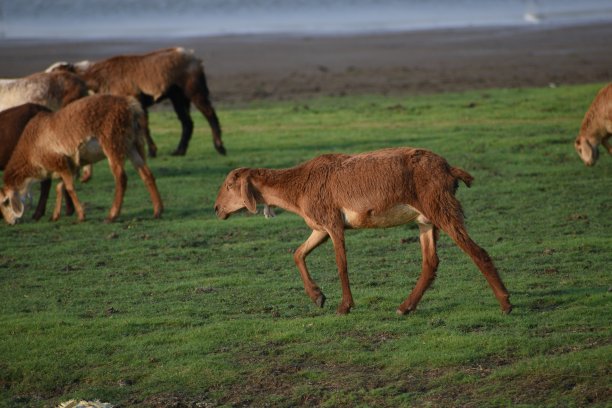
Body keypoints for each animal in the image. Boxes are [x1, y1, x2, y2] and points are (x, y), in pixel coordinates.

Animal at [0, 94, 164, 225]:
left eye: (5, 202)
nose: (10, 222)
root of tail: (131, 105)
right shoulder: (70, 164)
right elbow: (60, 187)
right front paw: (55, 216)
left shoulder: (60, 162)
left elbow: (69, 187)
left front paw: (80, 215)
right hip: (131, 144)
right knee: (146, 174)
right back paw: (158, 210)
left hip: (113, 142)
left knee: (121, 178)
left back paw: (112, 215)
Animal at [47, 47, 225, 157]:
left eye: (56, 73)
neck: (97, 78)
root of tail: (195, 58)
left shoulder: (135, 98)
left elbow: (144, 126)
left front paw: (152, 151)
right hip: (178, 96)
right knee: (187, 122)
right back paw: (179, 150)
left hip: (195, 90)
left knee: (210, 115)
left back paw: (220, 147)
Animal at [214, 147, 512, 316]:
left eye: (229, 185)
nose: (217, 209)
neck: (297, 186)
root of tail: (449, 169)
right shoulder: (320, 228)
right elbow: (298, 254)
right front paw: (317, 297)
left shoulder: (333, 224)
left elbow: (341, 265)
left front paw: (343, 307)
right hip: (425, 220)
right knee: (431, 262)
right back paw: (404, 307)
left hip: (441, 208)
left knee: (477, 251)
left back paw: (505, 304)